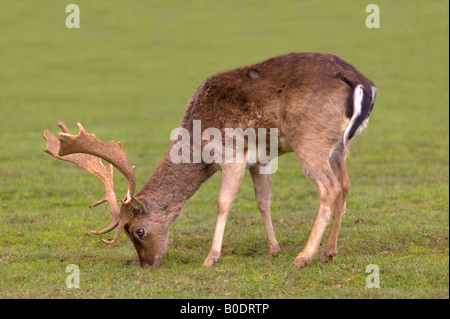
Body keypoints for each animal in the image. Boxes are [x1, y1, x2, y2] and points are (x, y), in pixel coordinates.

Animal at [43, 52, 376, 268]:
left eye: (138, 231)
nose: (147, 264)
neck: (195, 144)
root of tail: (363, 83)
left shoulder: (232, 155)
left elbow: (223, 202)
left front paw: (210, 258)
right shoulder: (261, 159)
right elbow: (263, 201)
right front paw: (273, 250)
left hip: (310, 140)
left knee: (329, 188)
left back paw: (304, 257)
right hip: (338, 147)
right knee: (345, 186)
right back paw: (329, 252)